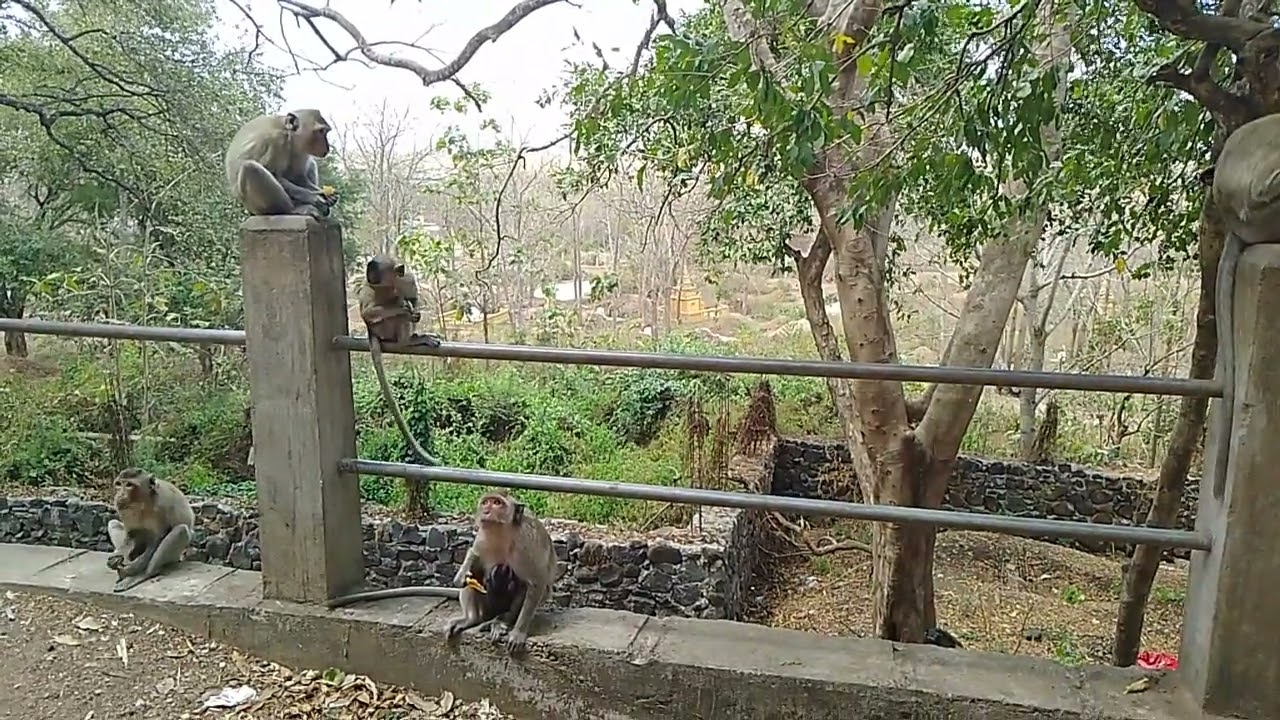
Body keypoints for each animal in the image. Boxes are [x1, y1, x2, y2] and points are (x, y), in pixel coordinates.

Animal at [358, 254, 444, 467]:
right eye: (371, 273)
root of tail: (371, 332)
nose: (370, 277)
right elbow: (368, 312)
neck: (391, 286)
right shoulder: (369, 288)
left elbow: (413, 297)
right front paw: (402, 308)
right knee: (393, 317)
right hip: (383, 328)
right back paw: (407, 339)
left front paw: (412, 307)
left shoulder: (407, 279)